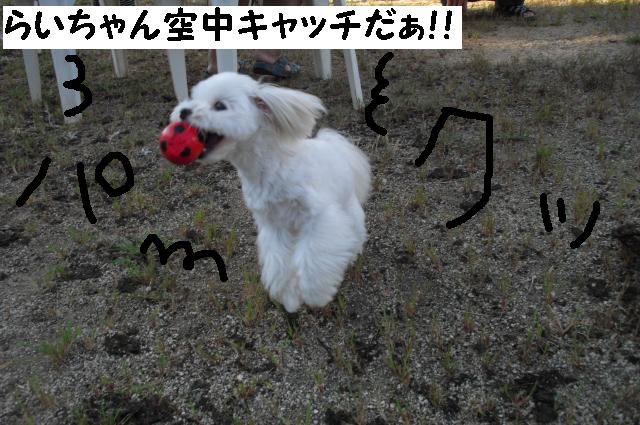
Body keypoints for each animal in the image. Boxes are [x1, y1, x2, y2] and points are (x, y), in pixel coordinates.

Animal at [171, 72, 371, 313]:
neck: (268, 168)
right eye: (193, 99)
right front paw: (289, 296)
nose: (183, 112)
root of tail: (336, 147)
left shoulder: (320, 217)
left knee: (354, 230)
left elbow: (313, 257)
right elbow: (279, 264)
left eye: (219, 105)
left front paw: (315, 293)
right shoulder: (274, 225)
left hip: (347, 207)